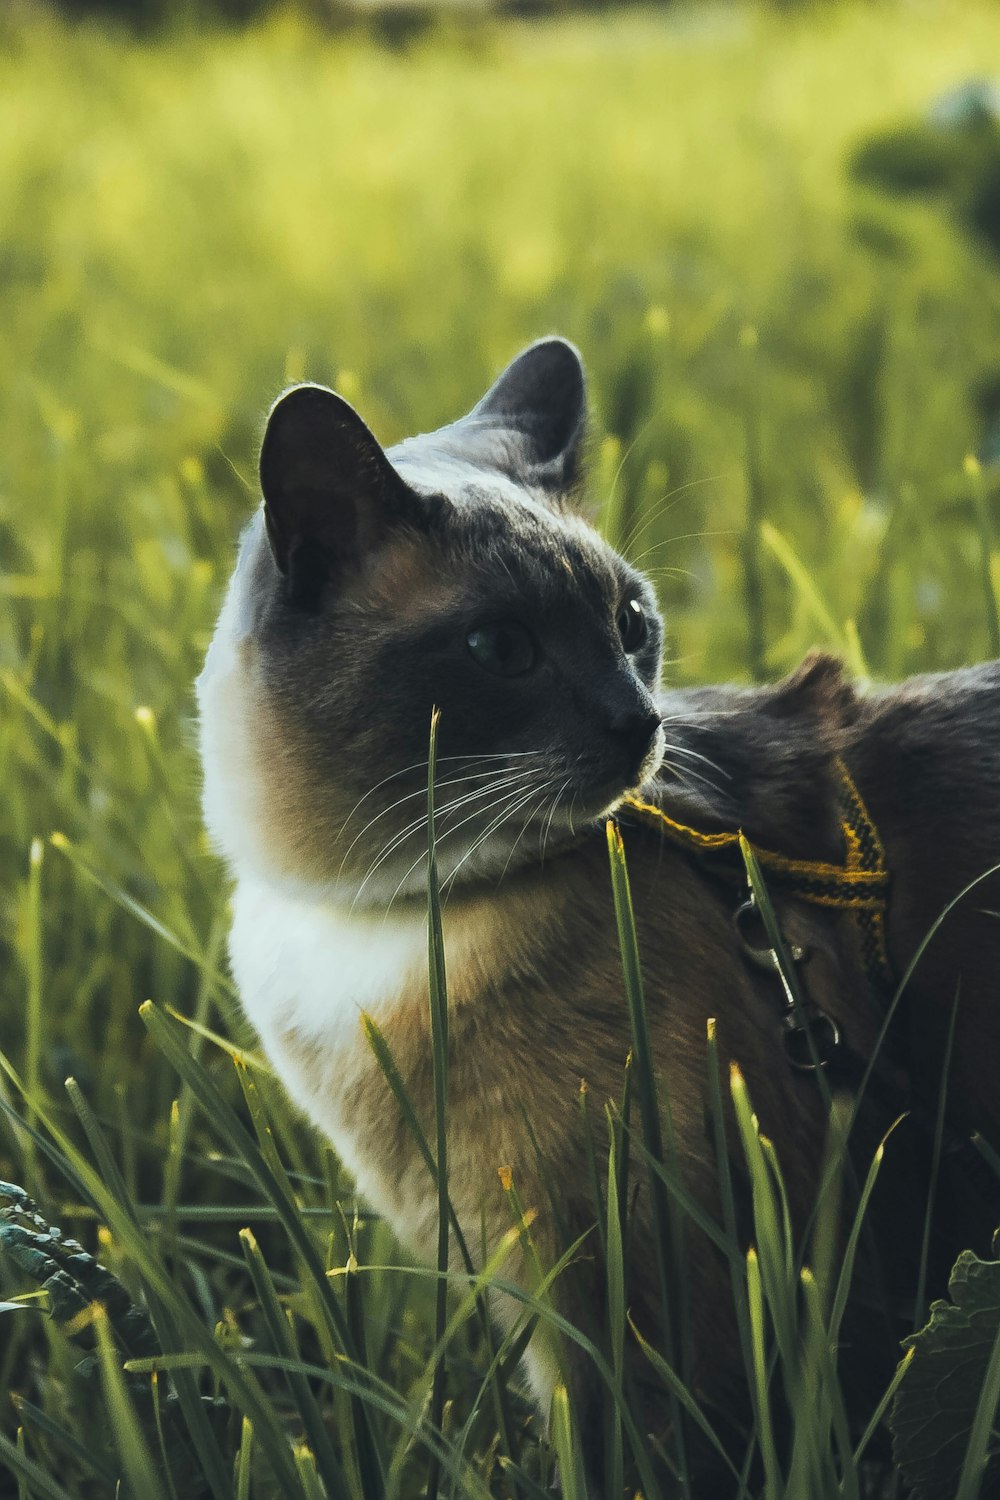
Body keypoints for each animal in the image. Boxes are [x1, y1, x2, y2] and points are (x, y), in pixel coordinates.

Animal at [197, 337, 1000, 1488]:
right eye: (500, 650)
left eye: (631, 625)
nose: (640, 721)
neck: (381, 920)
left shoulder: (635, 1297)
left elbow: (627, 1458)